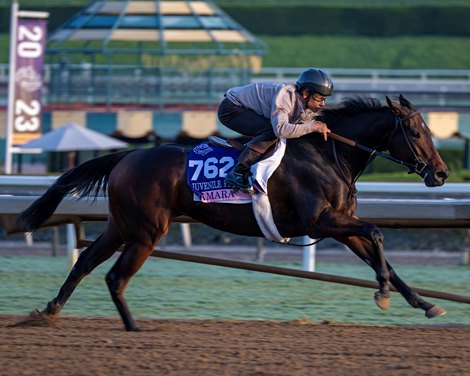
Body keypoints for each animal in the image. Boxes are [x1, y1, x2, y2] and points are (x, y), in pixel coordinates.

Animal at [17, 95, 448, 330]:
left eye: (430, 131)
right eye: (415, 133)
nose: (442, 173)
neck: (330, 154)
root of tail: (127, 156)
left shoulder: (339, 226)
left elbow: (380, 256)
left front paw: (423, 303)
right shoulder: (321, 221)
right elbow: (377, 232)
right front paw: (383, 293)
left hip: (121, 227)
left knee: (85, 262)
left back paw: (49, 311)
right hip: (146, 232)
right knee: (114, 276)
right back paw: (134, 328)